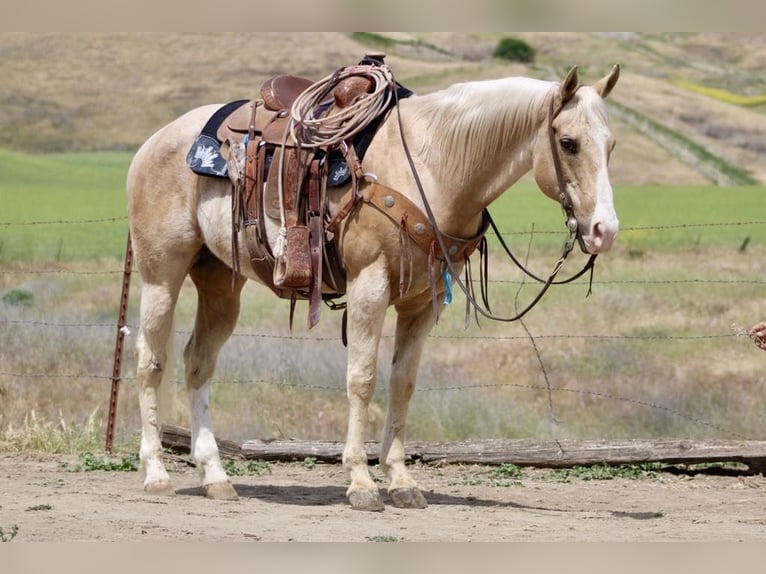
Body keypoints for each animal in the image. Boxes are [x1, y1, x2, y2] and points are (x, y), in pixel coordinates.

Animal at [126, 62, 620, 511]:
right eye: (568, 143)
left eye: (611, 144)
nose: (604, 230)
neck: (431, 163)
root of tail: (154, 141)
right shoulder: (370, 287)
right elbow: (362, 380)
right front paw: (361, 482)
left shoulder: (423, 304)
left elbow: (403, 383)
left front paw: (401, 481)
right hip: (161, 273)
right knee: (151, 361)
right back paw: (156, 473)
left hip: (219, 283)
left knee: (198, 363)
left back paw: (215, 476)